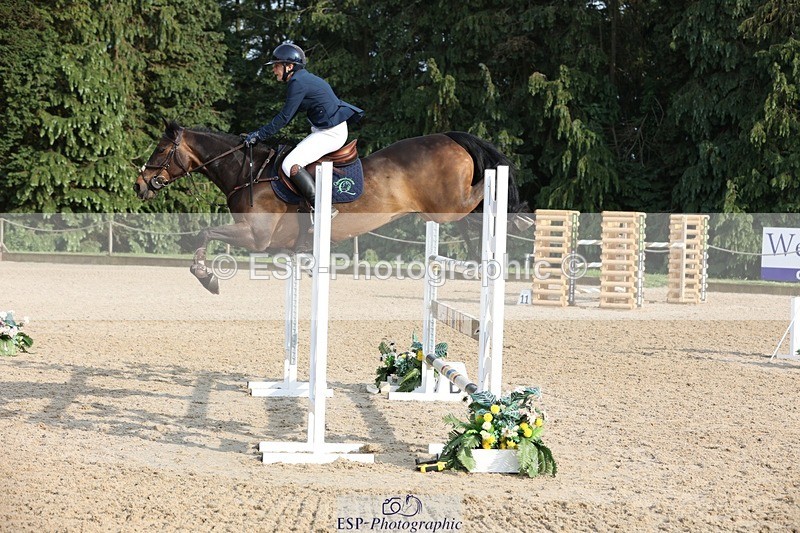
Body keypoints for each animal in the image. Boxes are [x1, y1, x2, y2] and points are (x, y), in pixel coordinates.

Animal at [134, 121, 530, 293]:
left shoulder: (256, 237)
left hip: (445, 204)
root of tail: (450, 137)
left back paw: (518, 214)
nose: (140, 185)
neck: (248, 170)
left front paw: (208, 278)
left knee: (484, 189)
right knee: (469, 215)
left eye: (160, 150)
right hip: (441, 211)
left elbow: (204, 232)